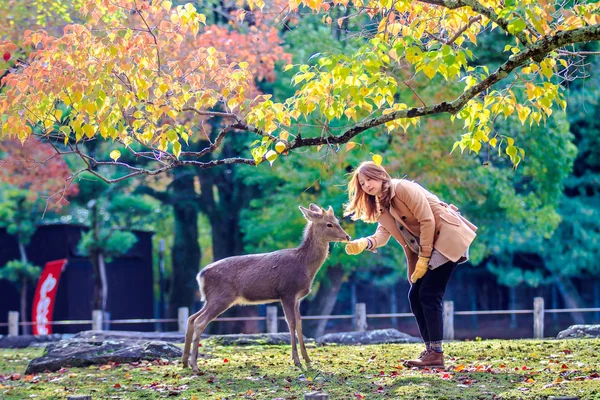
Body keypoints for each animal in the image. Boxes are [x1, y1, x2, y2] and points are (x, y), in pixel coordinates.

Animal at [183, 203, 352, 372]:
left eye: (337, 221)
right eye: (329, 224)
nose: (347, 237)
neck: (304, 266)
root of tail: (200, 275)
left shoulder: (297, 298)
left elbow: (299, 323)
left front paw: (308, 360)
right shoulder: (287, 292)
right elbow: (291, 323)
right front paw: (297, 361)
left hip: (211, 298)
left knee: (191, 318)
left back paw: (185, 362)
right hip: (221, 297)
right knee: (199, 322)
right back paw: (195, 365)